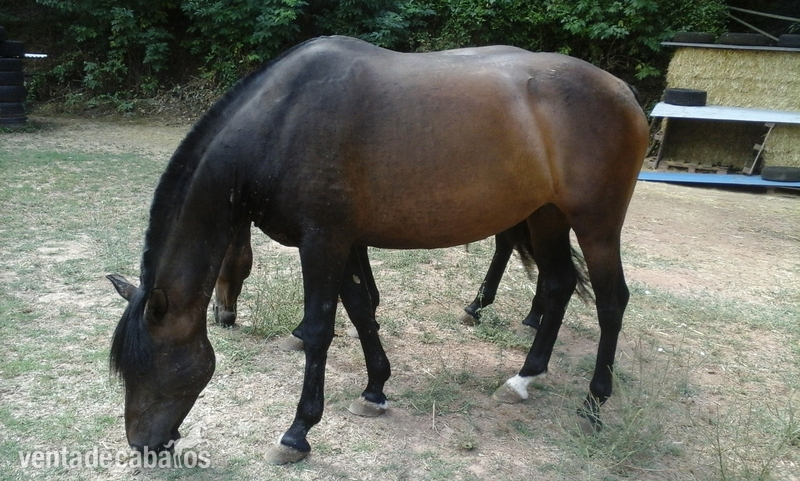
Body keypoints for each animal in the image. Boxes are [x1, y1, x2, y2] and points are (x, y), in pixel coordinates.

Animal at [107, 35, 648, 465]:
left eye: (146, 367)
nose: (143, 444)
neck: (282, 122)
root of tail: (623, 92)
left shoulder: (323, 241)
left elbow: (322, 330)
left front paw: (298, 433)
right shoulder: (344, 242)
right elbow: (362, 309)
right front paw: (375, 390)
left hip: (596, 225)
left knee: (612, 301)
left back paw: (594, 404)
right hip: (546, 215)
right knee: (557, 286)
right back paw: (524, 379)